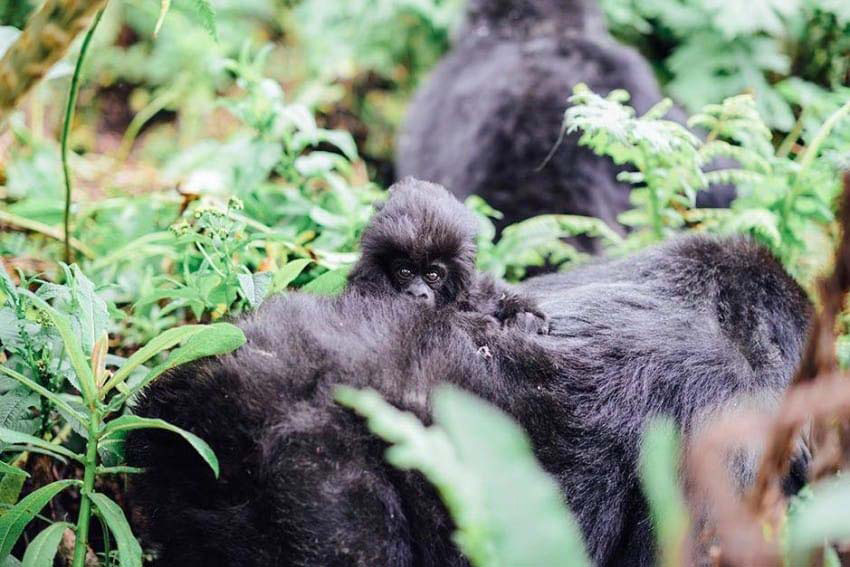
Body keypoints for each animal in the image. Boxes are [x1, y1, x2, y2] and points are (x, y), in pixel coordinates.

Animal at [346, 178, 548, 332]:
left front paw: (524, 313)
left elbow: (488, 290)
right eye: (405, 272)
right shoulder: (367, 289)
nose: (417, 294)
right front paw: (481, 324)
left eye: (432, 275)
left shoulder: (471, 290)